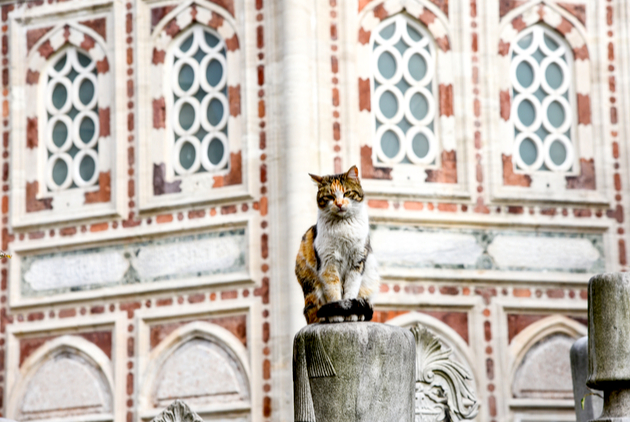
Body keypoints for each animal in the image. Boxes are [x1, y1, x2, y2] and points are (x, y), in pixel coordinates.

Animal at [296, 165, 380, 324]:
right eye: (329, 197)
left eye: (347, 193)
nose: (339, 204)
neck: (343, 226)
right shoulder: (328, 263)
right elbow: (333, 291)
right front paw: (337, 316)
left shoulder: (357, 261)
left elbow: (351, 290)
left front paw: (351, 315)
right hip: (311, 286)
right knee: (312, 312)